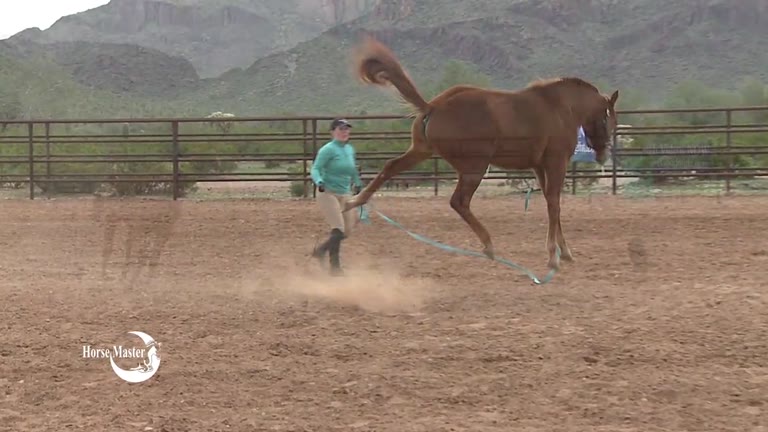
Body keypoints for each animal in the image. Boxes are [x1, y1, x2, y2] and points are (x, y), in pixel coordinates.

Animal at [342, 36, 619, 271]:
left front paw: (565, 252)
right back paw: (488, 245)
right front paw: (554, 257)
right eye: (608, 119)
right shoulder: (556, 163)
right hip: (474, 167)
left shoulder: (539, 166)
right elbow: (554, 203)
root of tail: (432, 106)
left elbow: (552, 202)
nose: (603, 154)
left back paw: (353, 202)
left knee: (390, 167)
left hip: (421, 151)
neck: (561, 108)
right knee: (459, 202)